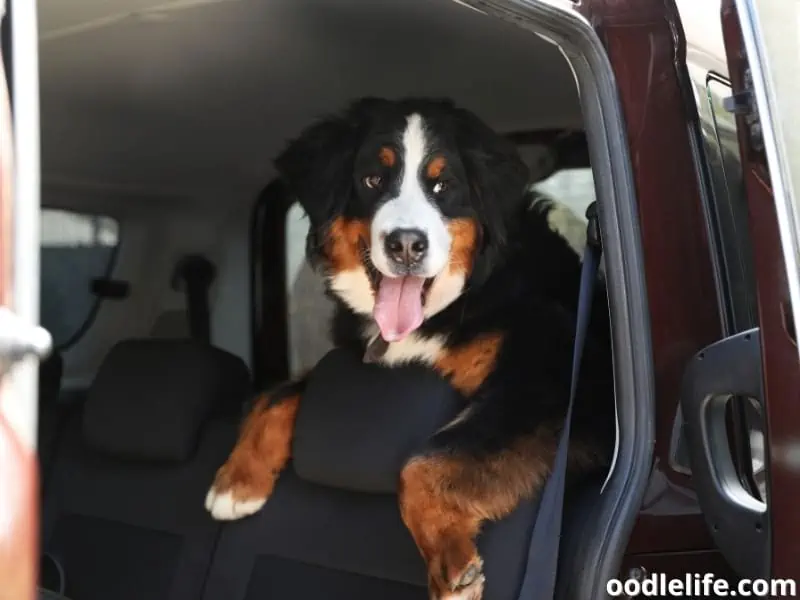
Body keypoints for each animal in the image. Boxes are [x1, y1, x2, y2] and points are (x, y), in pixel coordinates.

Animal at [205, 97, 612, 600]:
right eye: (372, 180)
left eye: (443, 184)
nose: (405, 245)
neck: (449, 304)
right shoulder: (348, 357)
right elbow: (277, 395)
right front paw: (236, 483)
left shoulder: (561, 372)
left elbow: (421, 463)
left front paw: (452, 568)